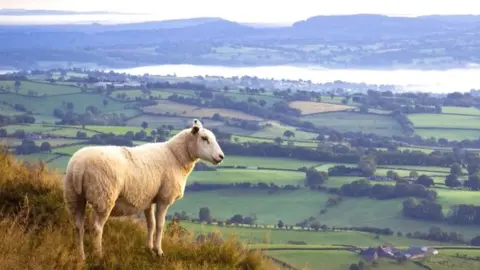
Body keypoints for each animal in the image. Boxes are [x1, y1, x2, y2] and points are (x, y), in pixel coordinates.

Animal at [63, 119, 225, 260]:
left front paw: (149, 248)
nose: (221, 156)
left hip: (74, 196)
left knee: (78, 226)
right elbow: (159, 225)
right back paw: (99, 255)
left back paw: (81, 256)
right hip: (104, 196)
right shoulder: (164, 198)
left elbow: (150, 224)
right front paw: (159, 251)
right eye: (204, 138)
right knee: (96, 228)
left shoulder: (148, 199)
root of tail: (79, 167)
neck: (176, 156)